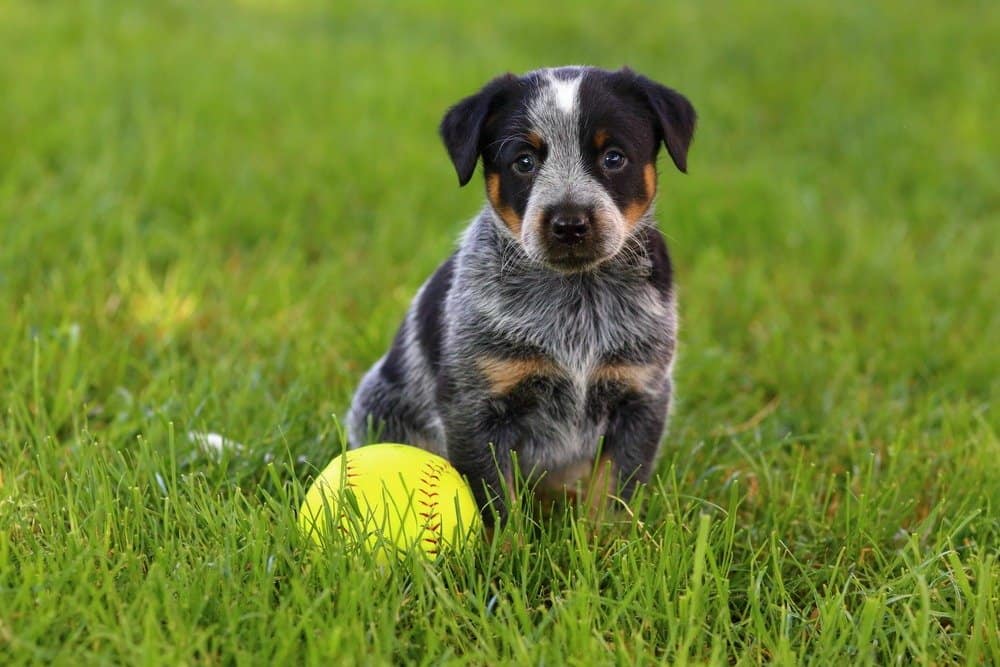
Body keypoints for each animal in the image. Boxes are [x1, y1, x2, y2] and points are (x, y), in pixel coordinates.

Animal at [348, 68, 700, 528]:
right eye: (524, 162)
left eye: (614, 157)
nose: (570, 224)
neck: (577, 299)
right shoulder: (475, 405)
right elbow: (497, 503)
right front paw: (507, 545)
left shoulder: (641, 395)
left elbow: (612, 496)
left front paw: (605, 542)